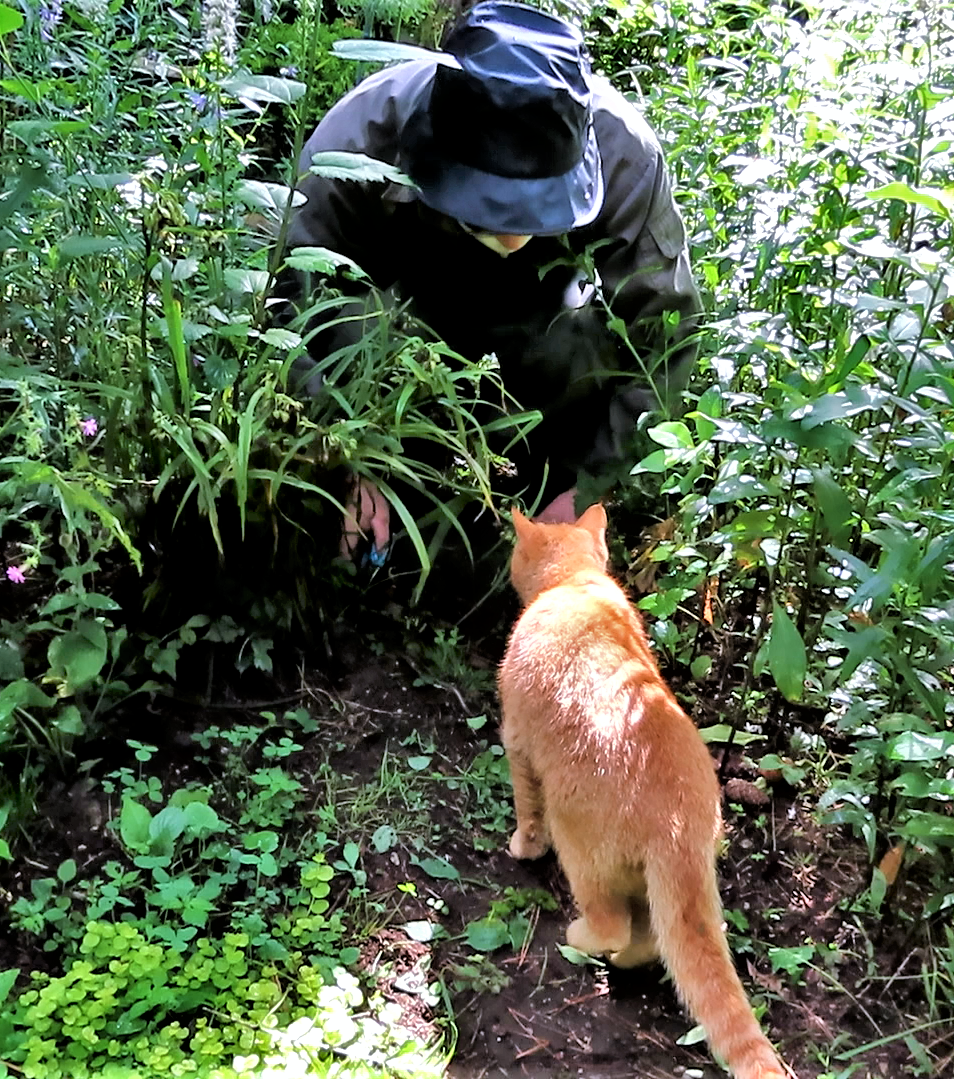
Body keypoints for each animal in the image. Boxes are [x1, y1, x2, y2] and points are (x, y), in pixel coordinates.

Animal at [498, 504, 781, 1079]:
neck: (576, 583)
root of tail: (681, 826)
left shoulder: (516, 742)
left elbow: (525, 809)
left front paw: (523, 846)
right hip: (684, 886)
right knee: (656, 939)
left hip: (580, 848)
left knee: (615, 926)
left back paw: (581, 939)